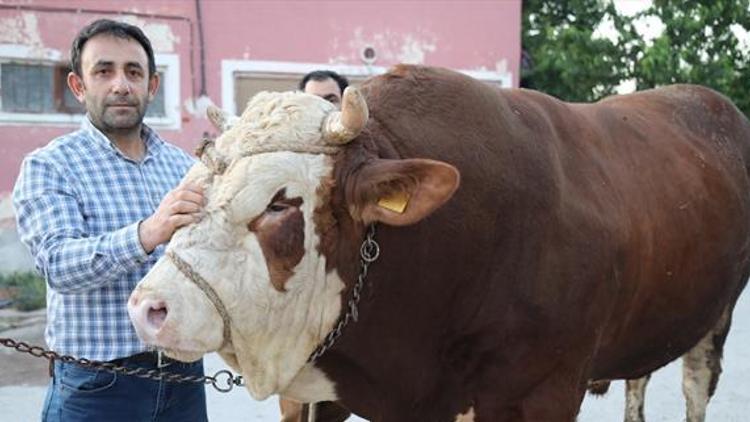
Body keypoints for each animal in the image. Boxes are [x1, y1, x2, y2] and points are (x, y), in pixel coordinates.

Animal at [126, 64, 748, 420]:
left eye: (280, 202)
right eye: (195, 188)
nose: (149, 308)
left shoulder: (541, 392)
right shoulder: (319, 394)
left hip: (715, 318)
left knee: (695, 387)